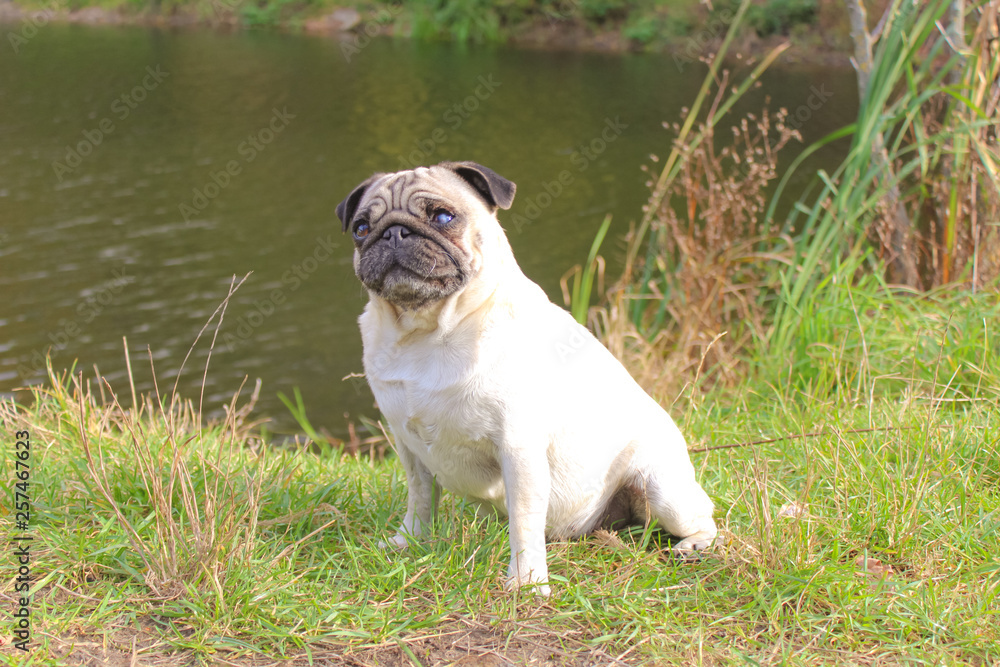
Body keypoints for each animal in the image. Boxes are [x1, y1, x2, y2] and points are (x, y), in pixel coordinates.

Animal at [338, 160, 720, 596]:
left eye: (443, 217)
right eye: (361, 228)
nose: (393, 232)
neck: (427, 332)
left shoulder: (518, 449)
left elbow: (523, 521)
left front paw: (526, 581)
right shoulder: (409, 447)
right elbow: (419, 499)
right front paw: (409, 541)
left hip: (662, 488)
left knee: (705, 519)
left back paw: (694, 545)